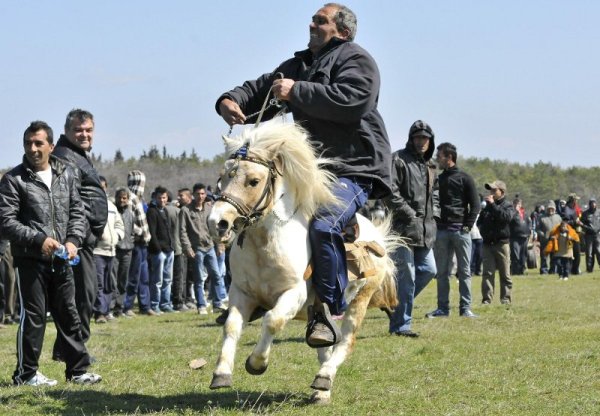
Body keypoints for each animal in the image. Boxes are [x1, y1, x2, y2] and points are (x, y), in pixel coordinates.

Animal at [209, 119, 400, 404]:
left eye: (254, 180)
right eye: (222, 177)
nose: (217, 222)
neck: (265, 243)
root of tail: (377, 237)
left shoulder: (294, 294)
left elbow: (273, 321)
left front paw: (256, 363)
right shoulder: (241, 293)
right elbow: (231, 326)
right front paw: (221, 373)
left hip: (360, 300)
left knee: (345, 342)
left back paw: (324, 378)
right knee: (325, 344)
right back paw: (321, 391)